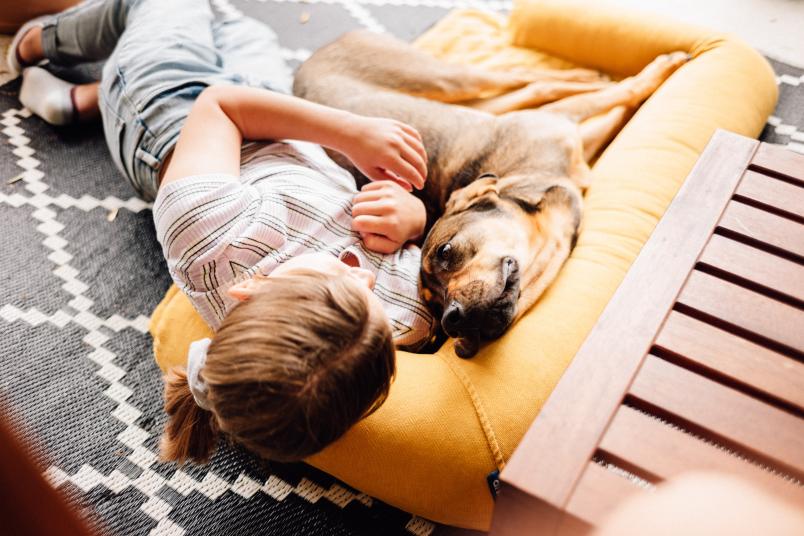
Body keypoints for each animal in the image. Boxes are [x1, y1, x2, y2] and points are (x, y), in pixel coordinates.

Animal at [296, 29, 684, 356]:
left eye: (445, 251)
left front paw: (655, 74)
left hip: (449, 80)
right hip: (476, 103)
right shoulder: (574, 142)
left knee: (525, 78)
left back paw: (589, 75)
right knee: (529, 89)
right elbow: (617, 107)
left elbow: (624, 93)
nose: (451, 320)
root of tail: (308, 62)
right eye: (433, 307)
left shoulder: (565, 129)